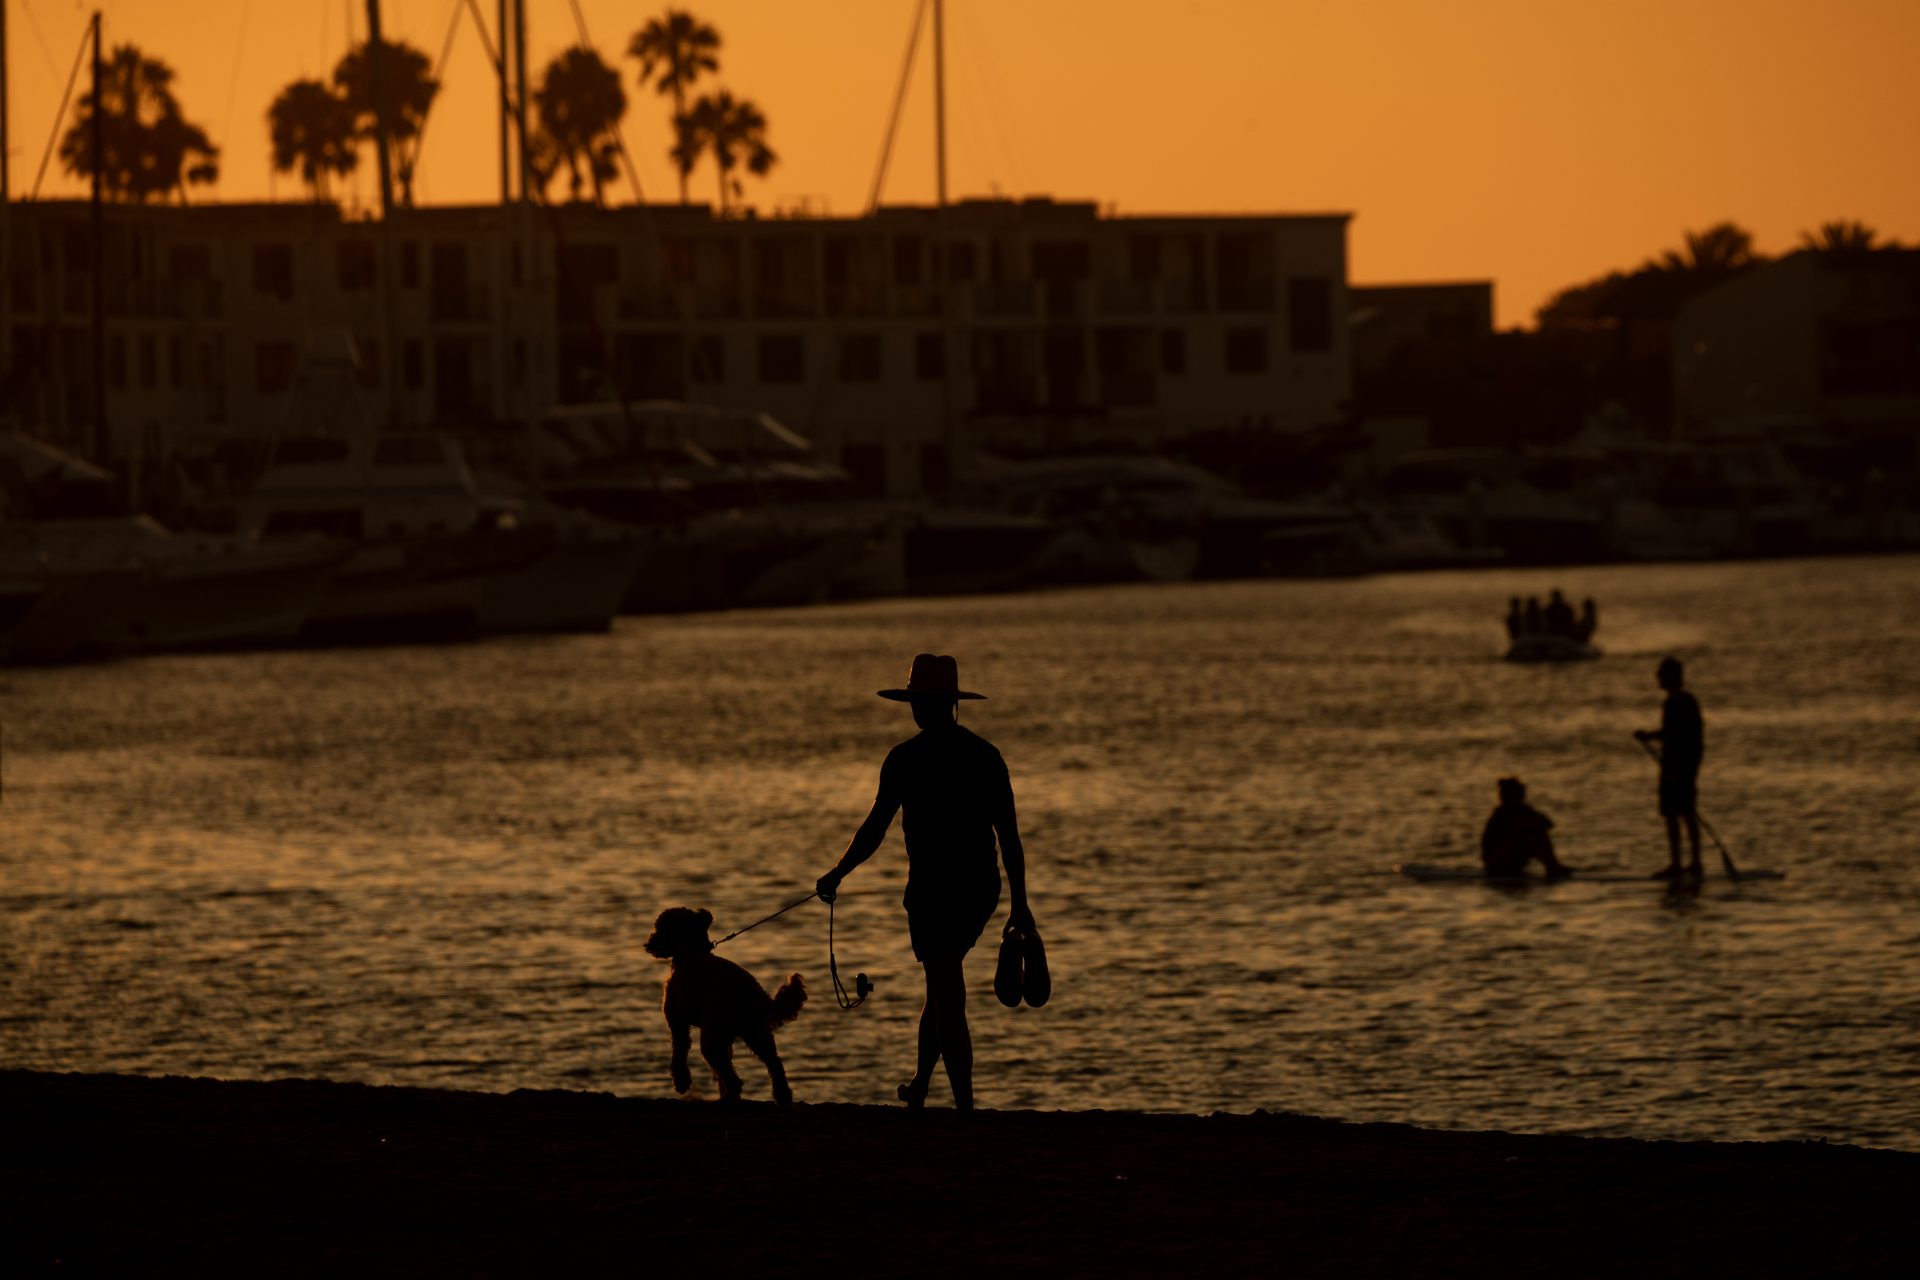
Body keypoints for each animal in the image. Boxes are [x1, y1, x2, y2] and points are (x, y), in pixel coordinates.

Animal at [637, 905, 802, 1105]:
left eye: (661, 927)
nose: (649, 944)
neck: (692, 953)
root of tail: (750, 990)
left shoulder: (677, 1021)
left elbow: (679, 1051)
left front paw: (681, 1081)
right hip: (756, 1033)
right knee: (774, 1064)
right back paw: (782, 1097)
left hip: (715, 1036)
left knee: (734, 1078)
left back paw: (729, 1098)